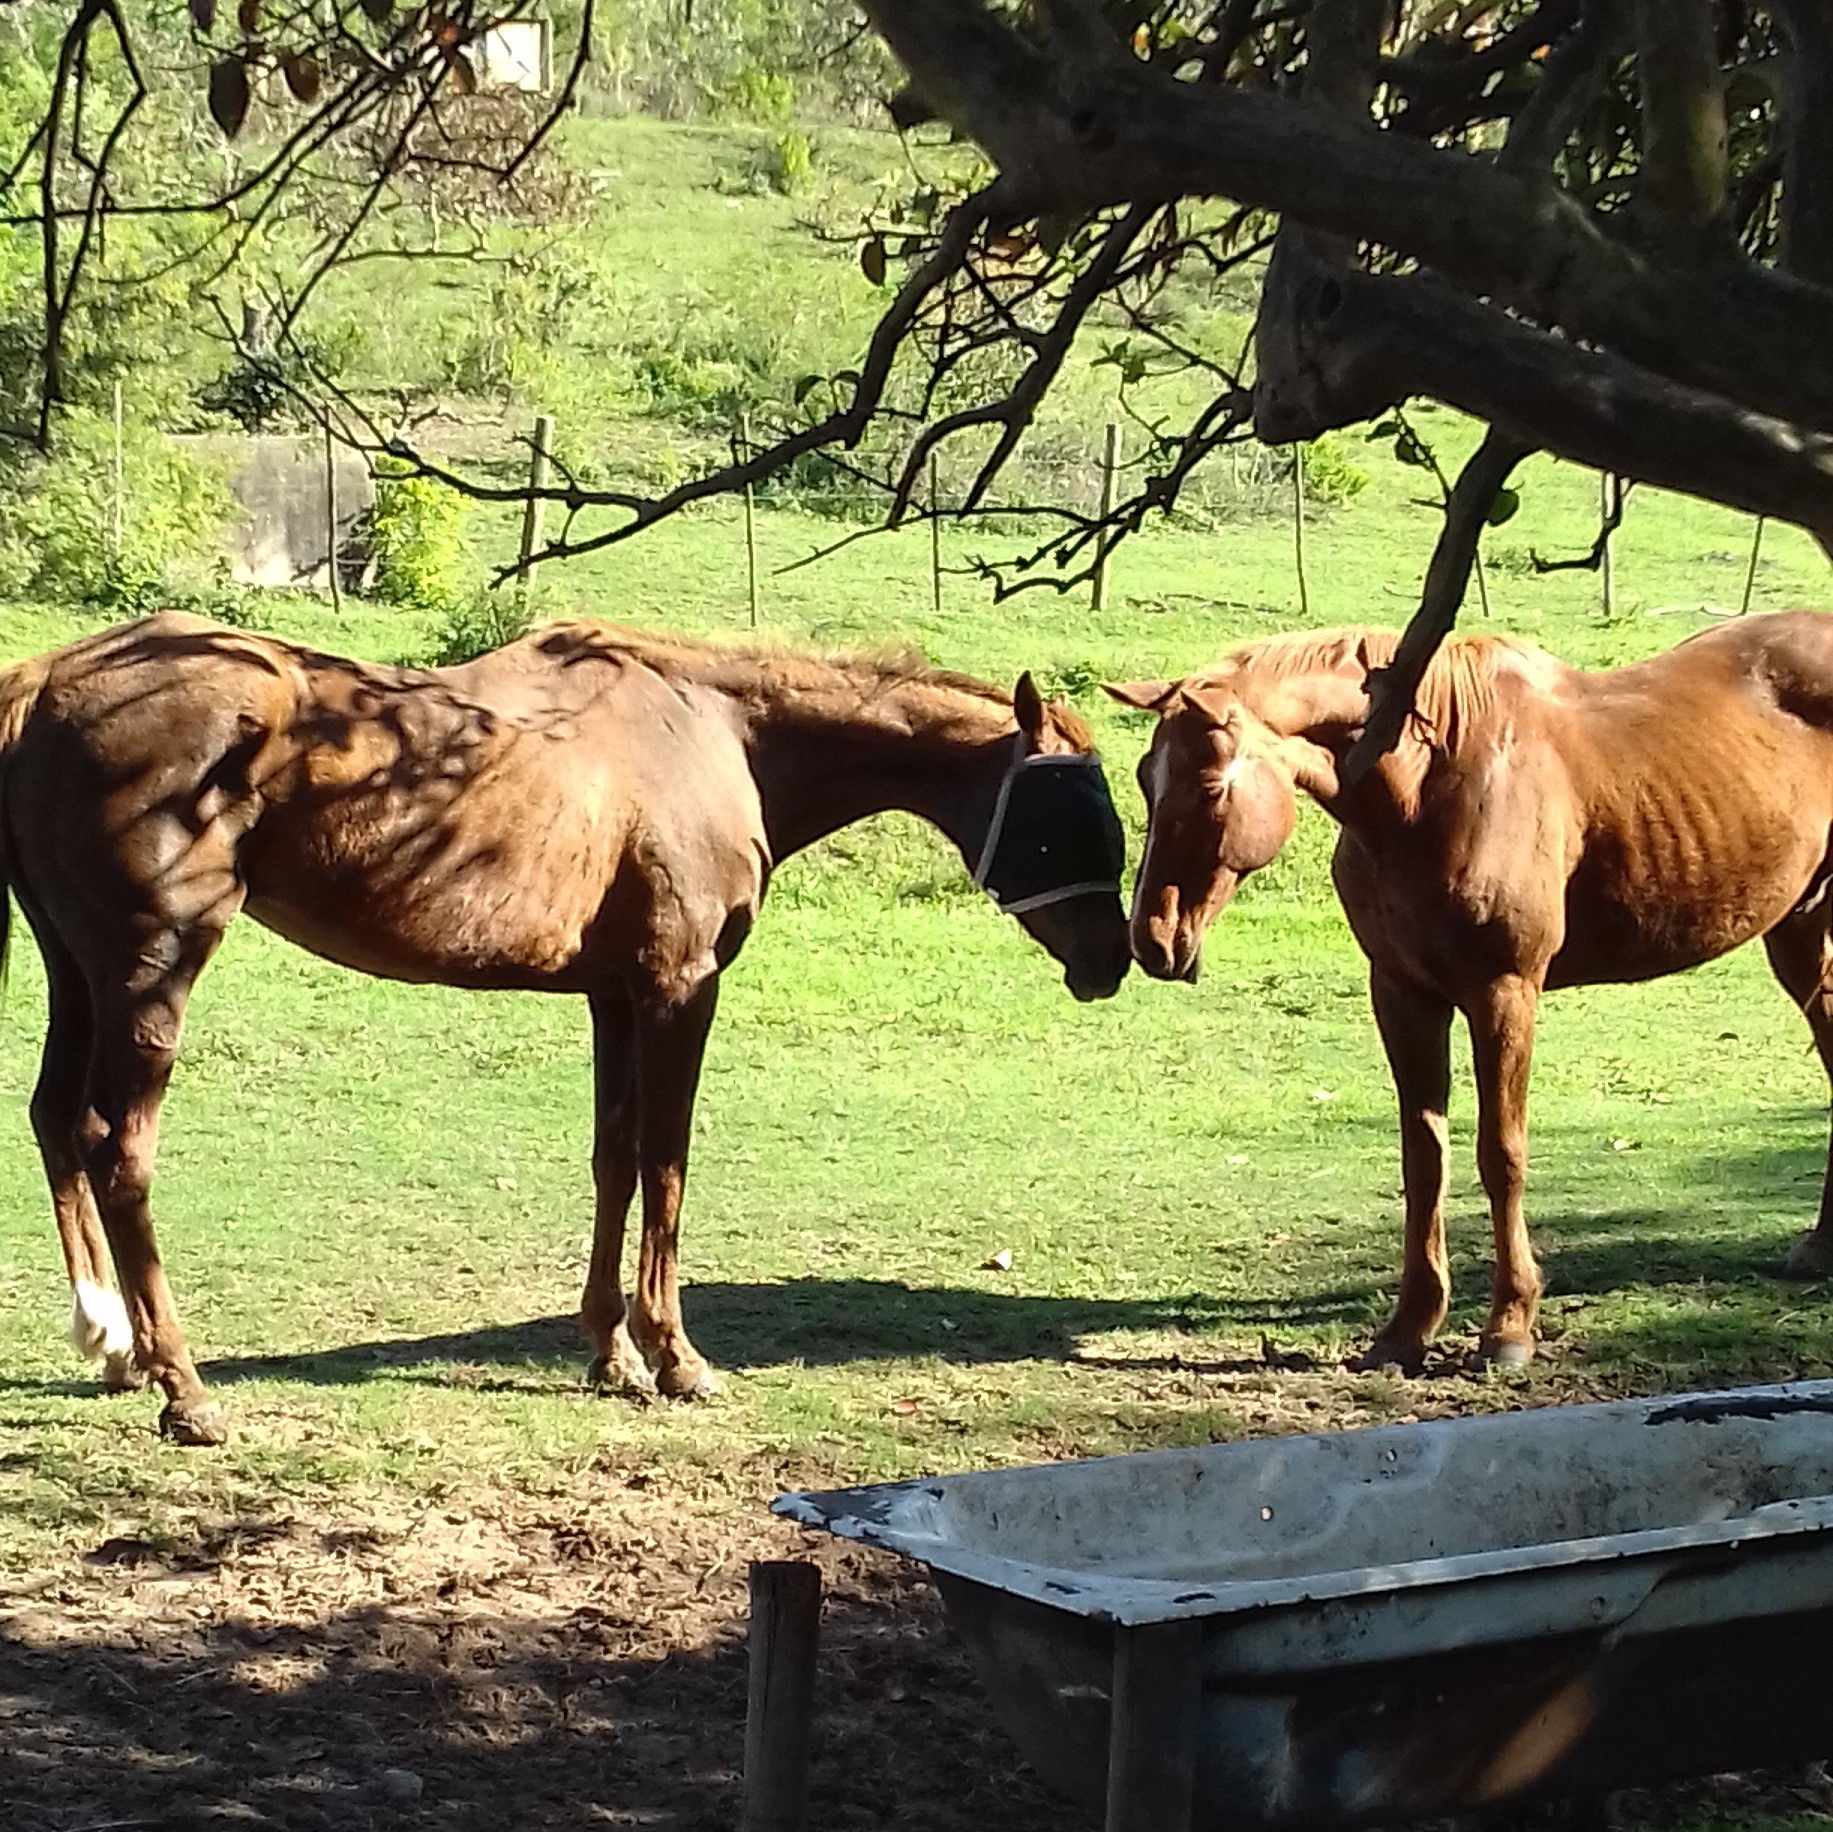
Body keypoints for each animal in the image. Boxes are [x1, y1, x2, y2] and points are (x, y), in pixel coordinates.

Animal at [0, 611, 1131, 1444]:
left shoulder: (614, 996)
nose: (1113, 959)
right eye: (1069, 811)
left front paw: (612, 1353)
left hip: (80, 971)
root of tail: (46, 682)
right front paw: (676, 1358)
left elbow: (614, 1159)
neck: (714, 734)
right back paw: (182, 1388)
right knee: (119, 1149)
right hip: (156, 969)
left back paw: (111, 1341)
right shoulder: (679, 988)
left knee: (58, 1121)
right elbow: (667, 1162)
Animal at [1108, 610, 1833, 1371]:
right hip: (1798, 928)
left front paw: (1510, 1325)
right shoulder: (1403, 995)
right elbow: (1424, 1159)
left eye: (1210, 786)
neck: (1428, 785)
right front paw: (1407, 1328)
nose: (1152, 939)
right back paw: (1819, 1248)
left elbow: (1500, 1154)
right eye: (1145, 779)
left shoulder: (1502, 993)